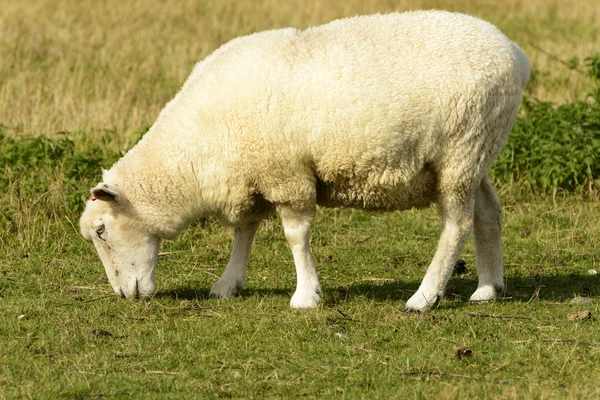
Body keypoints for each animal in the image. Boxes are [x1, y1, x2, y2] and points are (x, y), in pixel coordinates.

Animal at [78, 10, 528, 312]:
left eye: (102, 231)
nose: (124, 294)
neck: (197, 150)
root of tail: (516, 55)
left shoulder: (286, 174)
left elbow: (295, 236)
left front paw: (305, 295)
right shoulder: (253, 174)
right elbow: (244, 231)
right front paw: (228, 283)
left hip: (460, 152)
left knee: (457, 225)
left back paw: (424, 296)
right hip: (477, 154)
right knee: (489, 213)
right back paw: (488, 289)